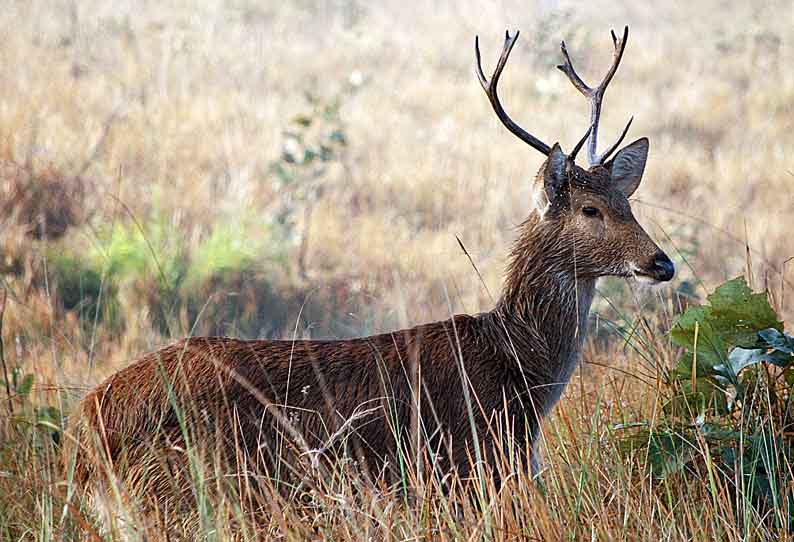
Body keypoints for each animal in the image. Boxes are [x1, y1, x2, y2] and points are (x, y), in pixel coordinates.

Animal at [65, 26, 672, 532]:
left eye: (628, 201)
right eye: (591, 210)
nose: (662, 263)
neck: (517, 369)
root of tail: (85, 431)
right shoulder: (464, 472)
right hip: (181, 494)